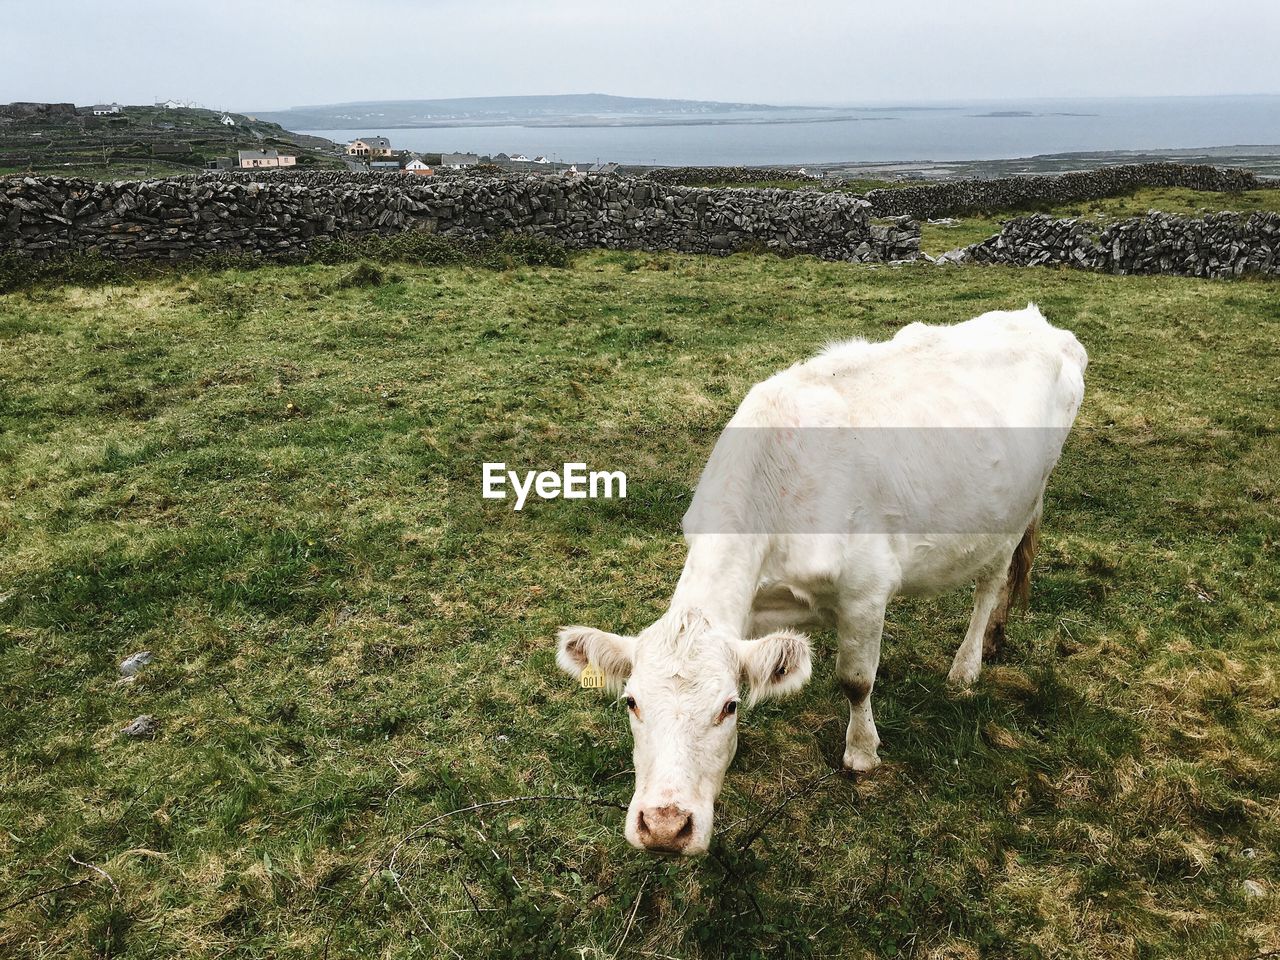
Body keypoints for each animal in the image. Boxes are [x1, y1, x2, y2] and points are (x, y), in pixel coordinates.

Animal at [555, 305, 1085, 855]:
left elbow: (856, 681)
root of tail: (1038, 320)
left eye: (727, 706)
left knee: (990, 584)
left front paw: (862, 753)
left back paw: (968, 664)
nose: (664, 826)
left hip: (1016, 510)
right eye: (632, 701)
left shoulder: (867, 591)